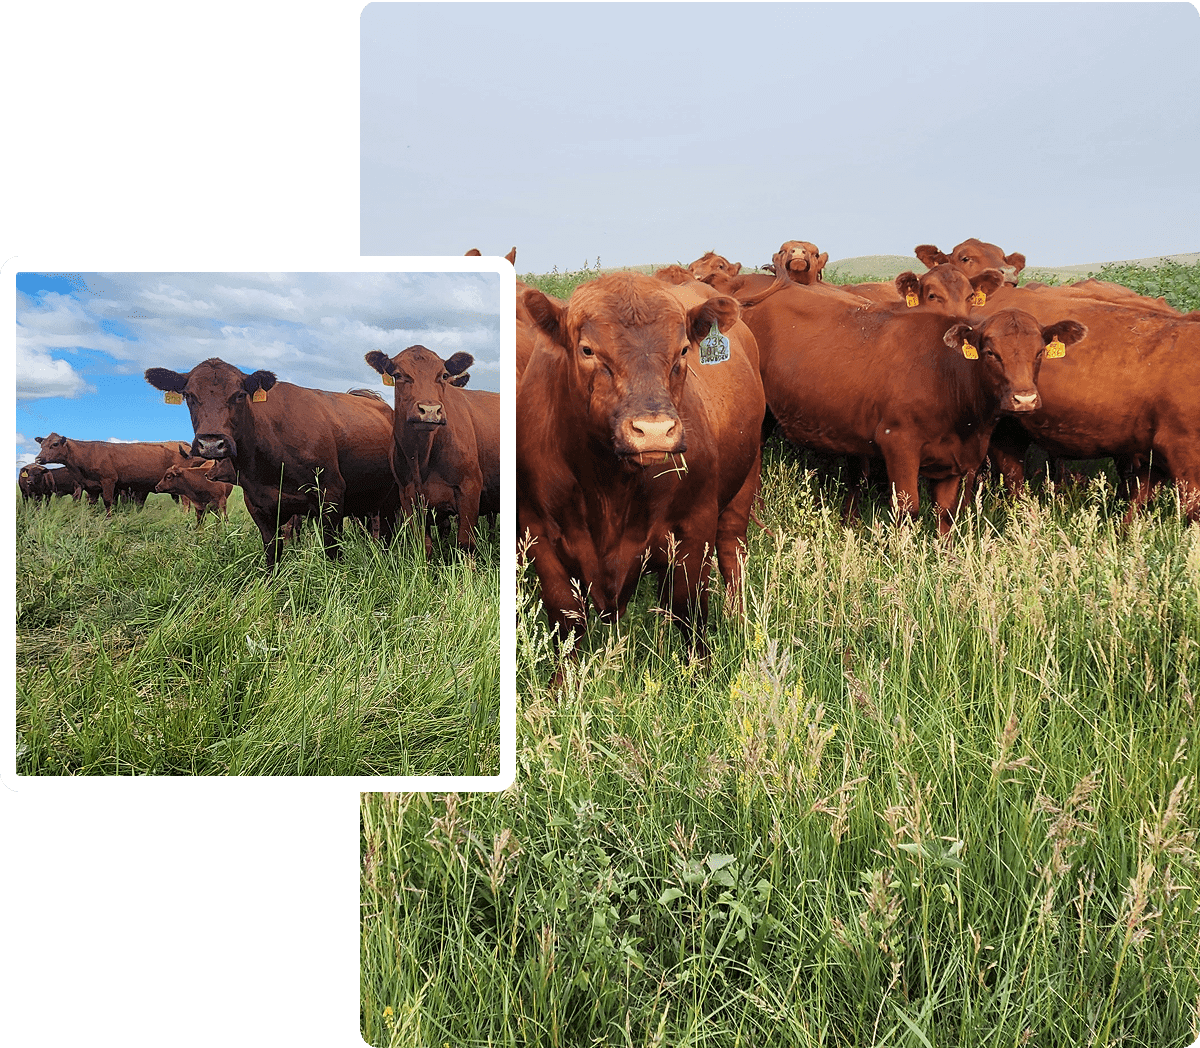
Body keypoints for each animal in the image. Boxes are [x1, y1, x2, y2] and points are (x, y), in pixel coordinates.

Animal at [34, 435, 192, 513]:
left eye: (54, 444)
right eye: (41, 445)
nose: (38, 458)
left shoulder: (108, 481)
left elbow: (108, 501)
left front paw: (108, 519)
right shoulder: (91, 487)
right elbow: (92, 503)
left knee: (186, 502)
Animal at [144, 358, 400, 569]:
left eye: (239, 394)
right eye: (189, 395)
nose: (212, 443)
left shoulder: (331, 496)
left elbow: (332, 550)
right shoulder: (259, 506)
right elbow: (272, 553)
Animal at [364, 345, 500, 555]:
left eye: (443, 375)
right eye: (398, 375)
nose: (429, 410)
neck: (422, 458)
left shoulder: (470, 488)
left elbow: (465, 543)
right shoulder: (408, 496)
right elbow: (424, 545)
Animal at [518, 272, 765, 658]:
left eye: (683, 350)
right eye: (587, 349)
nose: (654, 431)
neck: (608, 486)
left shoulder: (695, 526)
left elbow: (690, 614)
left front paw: (700, 671)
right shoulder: (537, 533)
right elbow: (567, 623)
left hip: (743, 485)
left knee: (732, 555)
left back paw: (738, 623)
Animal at [740, 284, 1087, 533]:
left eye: (1040, 351)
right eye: (991, 353)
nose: (1024, 398)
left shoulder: (956, 459)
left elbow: (946, 514)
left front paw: (945, 561)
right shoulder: (898, 443)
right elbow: (907, 510)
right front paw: (902, 560)